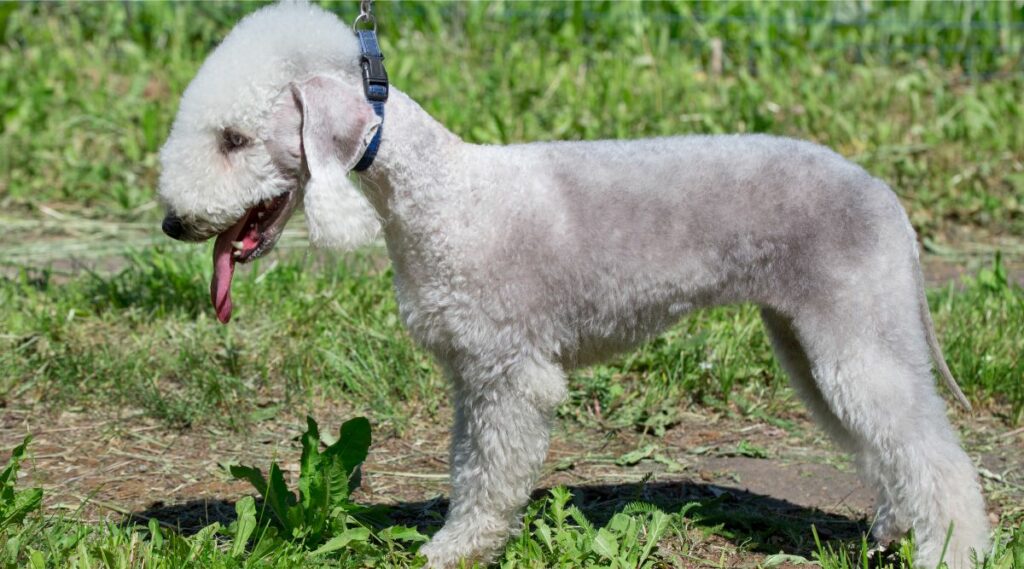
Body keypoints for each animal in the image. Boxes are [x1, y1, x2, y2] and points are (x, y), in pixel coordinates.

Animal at [159, 2, 991, 564]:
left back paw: (952, 549)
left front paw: (455, 549)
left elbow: (492, 474)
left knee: (936, 457)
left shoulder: (508, 371)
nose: (172, 222)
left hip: (857, 333)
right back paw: (891, 531)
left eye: (233, 138)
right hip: (809, 341)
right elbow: (468, 462)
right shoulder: (472, 374)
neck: (441, 196)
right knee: (886, 446)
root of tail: (884, 193)